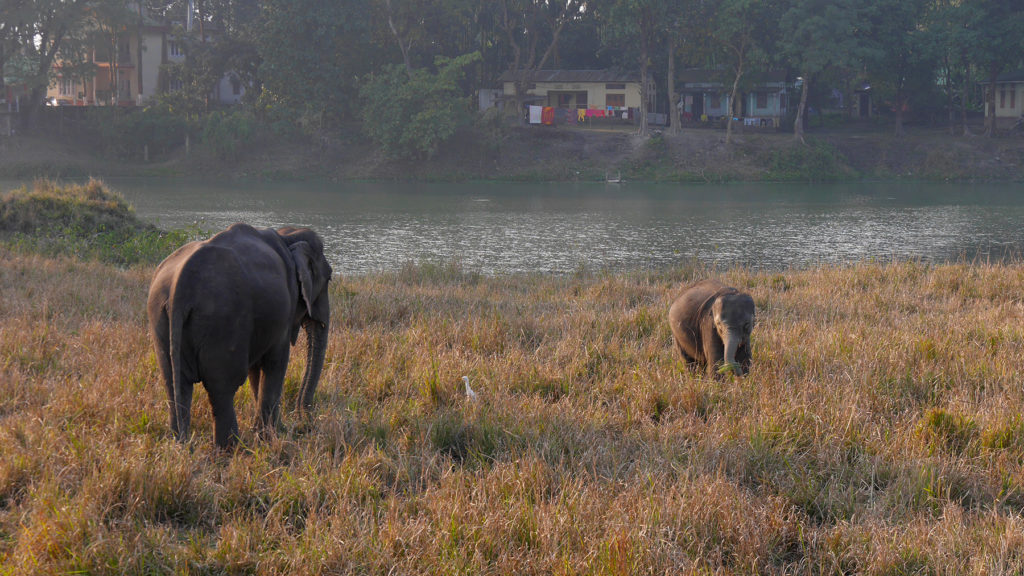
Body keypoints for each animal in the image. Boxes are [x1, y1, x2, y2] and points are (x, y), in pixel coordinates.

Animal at [146, 222, 331, 446]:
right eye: (329, 278)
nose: (305, 424)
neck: (288, 235)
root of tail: (179, 289)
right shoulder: (284, 313)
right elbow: (276, 363)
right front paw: (272, 435)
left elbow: (256, 369)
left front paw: (264, 432)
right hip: (222, 321)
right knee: (223, 387)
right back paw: (233, 448)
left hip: (160, 318)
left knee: (175, 384)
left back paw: (180, 444)